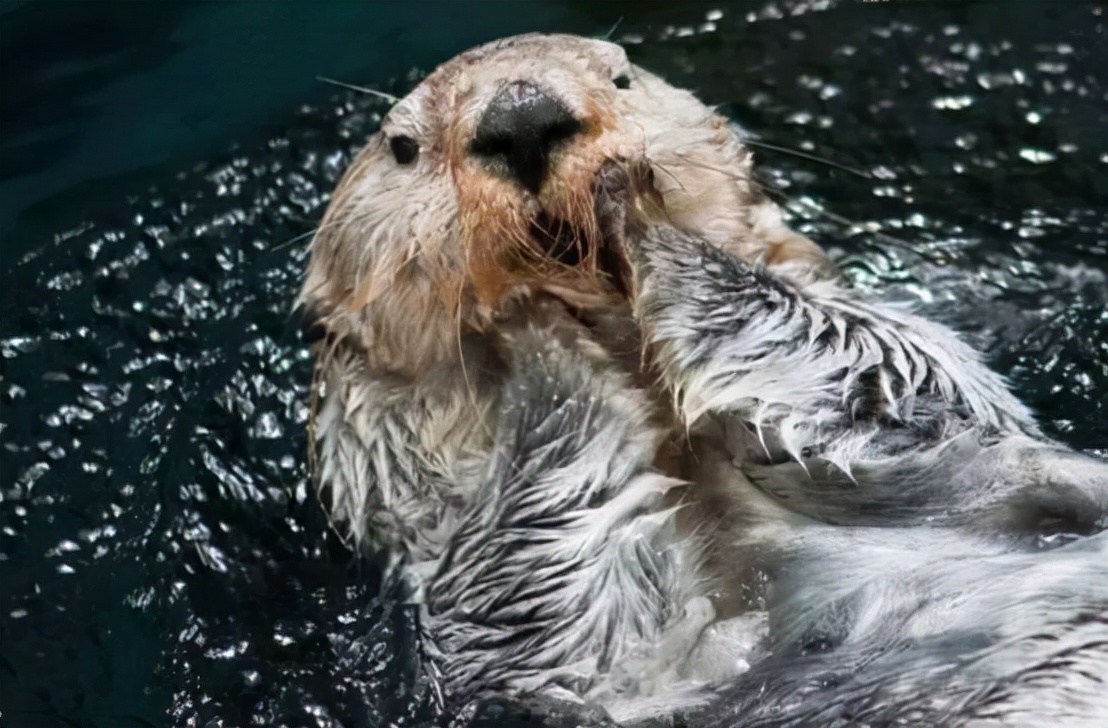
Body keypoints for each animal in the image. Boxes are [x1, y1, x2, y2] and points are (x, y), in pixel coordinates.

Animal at [296, 34, 1108, 726]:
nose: (522, 116)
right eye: (404, 147)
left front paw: (628, 204)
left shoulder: (931, 404)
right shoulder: (589, 652)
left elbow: (869, 371)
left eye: (622, 75)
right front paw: (528, 325)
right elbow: (567, 596)